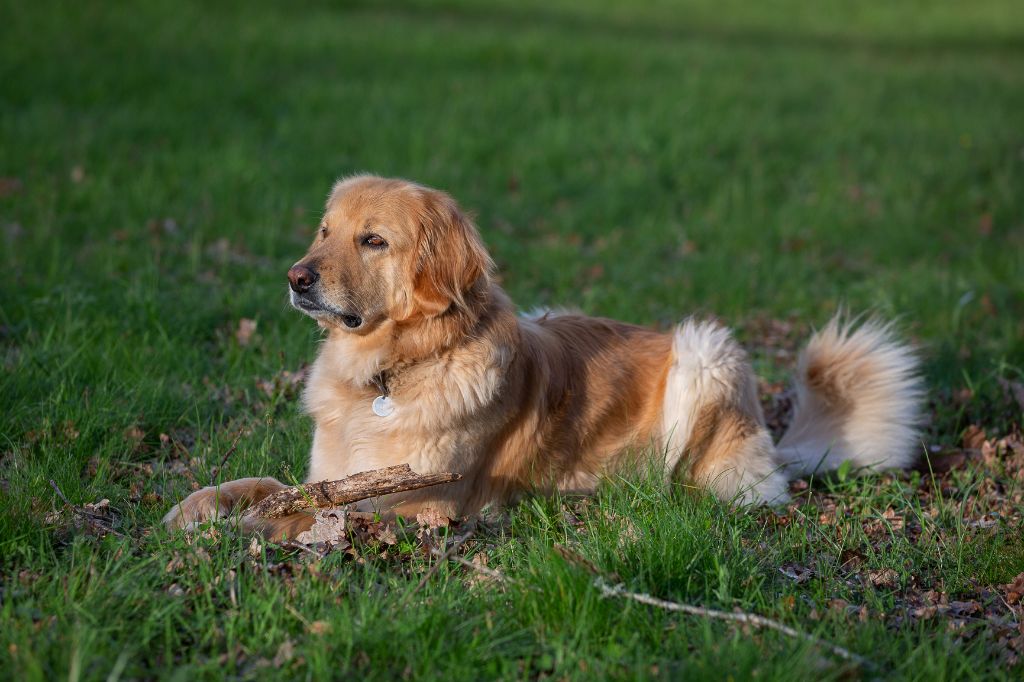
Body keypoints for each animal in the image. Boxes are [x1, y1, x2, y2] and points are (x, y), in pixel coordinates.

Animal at [163, 175, 925, 536]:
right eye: (325, 231)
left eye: (373, 240)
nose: (296, 277)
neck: (390, 371)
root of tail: (768, 433)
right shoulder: (330, 472)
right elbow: (263, 484)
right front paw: (197, 508)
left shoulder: (429, 502)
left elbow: (328, 513)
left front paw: (255, 528)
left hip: (705, 351)